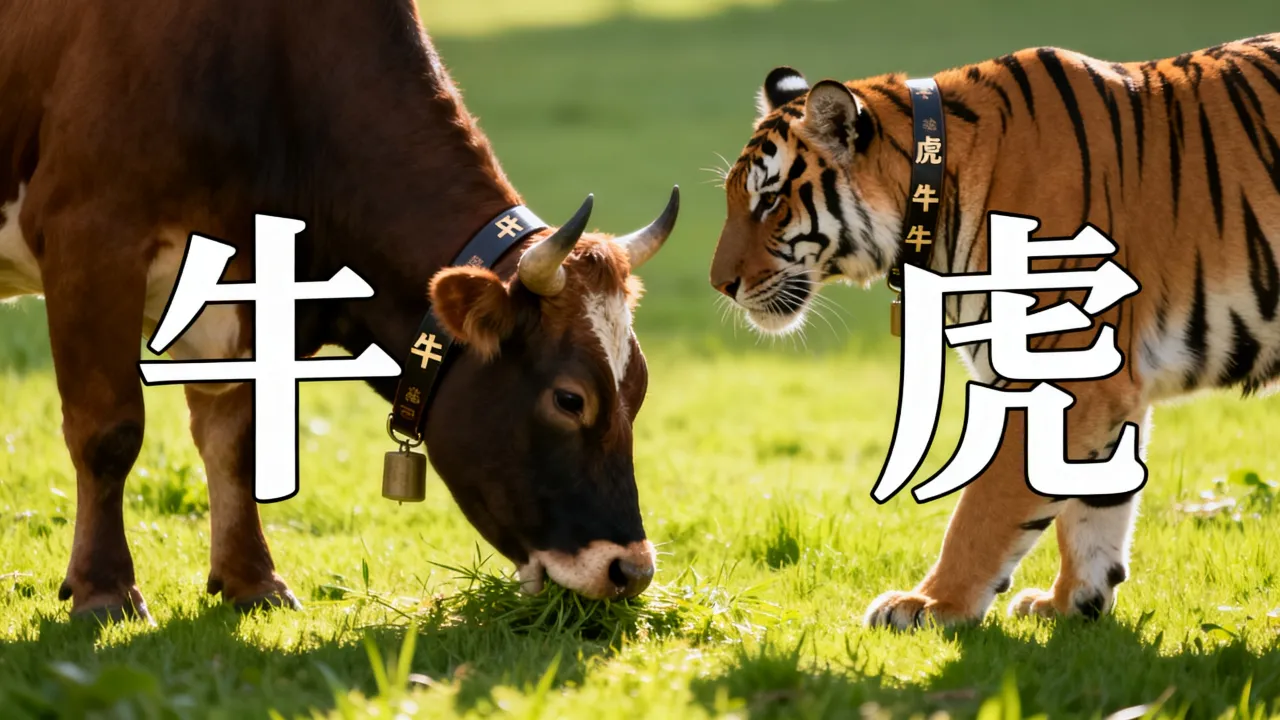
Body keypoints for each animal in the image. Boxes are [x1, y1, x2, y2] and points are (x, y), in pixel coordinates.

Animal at [709, 33, 1280, 629]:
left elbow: (986, 506)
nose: (719, 284)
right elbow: (1094, 501)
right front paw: (1072, 602)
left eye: (770, 201)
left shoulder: (1061, 368)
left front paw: (930, 603)